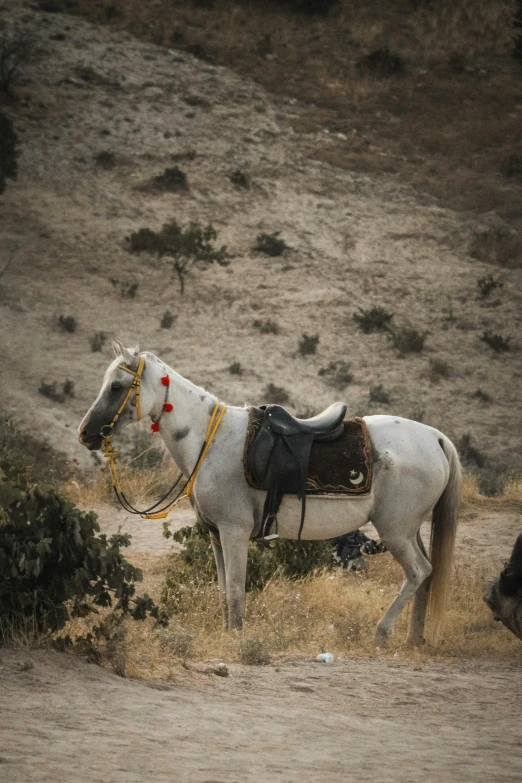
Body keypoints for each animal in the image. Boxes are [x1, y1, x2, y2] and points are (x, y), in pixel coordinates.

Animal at [78, 346, 460, 648]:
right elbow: (223, 591)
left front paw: (236, 637)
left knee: (418, 571)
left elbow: (235, 589)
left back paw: (382, 634)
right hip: (409, 530)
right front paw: (227, 633)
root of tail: (436, 437)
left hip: (395, 531)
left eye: (116, 386)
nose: (85, 434)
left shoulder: (234, 531)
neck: (209, 440)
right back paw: (413, 638)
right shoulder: (216, 536)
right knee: (426, 574)